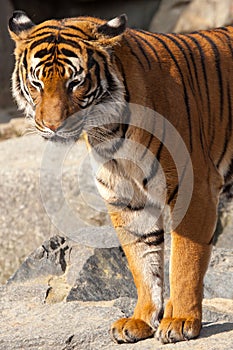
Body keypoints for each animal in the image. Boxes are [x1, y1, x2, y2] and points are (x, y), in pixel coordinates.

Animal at [8, 10, 232, 344]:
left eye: (75, 82)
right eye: (36, 83)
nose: (52, 126)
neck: (108, 129)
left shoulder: (194, 189)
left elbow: (184, 262)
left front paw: (180, 320)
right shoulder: (127, 198)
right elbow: (142, 262)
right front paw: (140, 320)